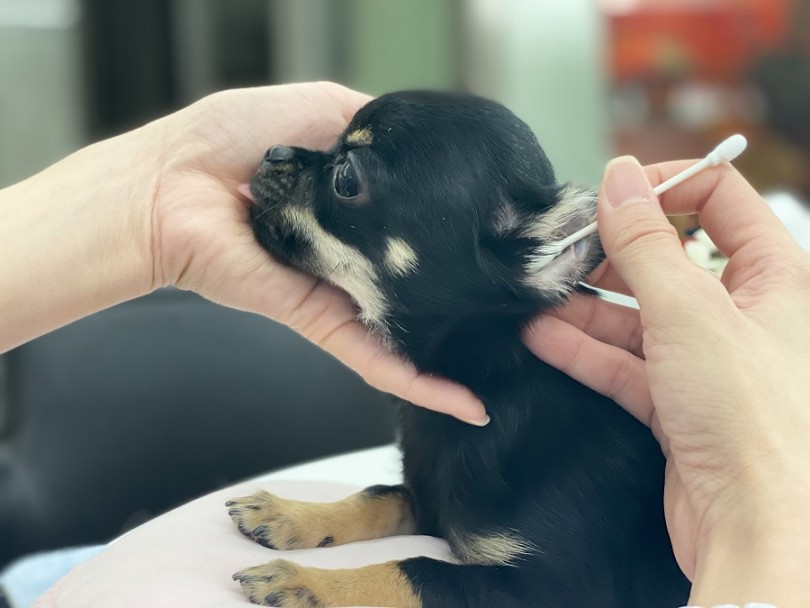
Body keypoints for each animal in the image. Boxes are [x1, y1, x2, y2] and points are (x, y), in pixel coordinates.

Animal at [227, 91, 688, 608]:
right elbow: (381, 493)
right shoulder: (430, 502)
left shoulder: (550, 590)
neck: (489, 379)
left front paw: (306, 582)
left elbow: (412, 569)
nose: (274, 151)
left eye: (346, 178)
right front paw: (292, 514)